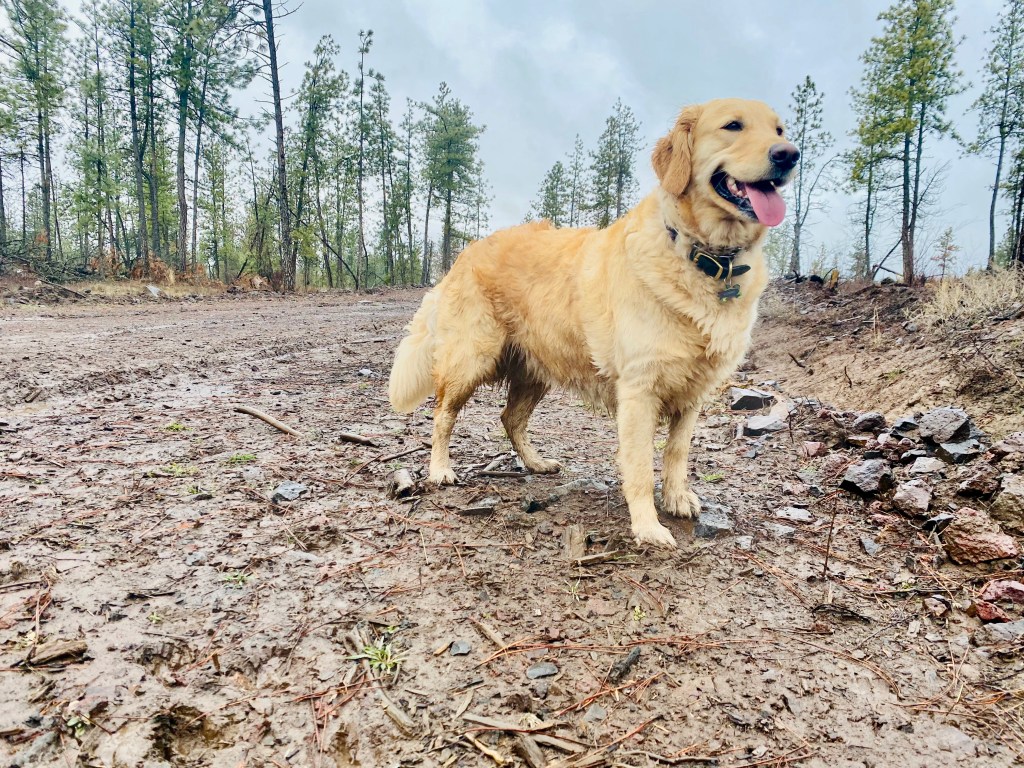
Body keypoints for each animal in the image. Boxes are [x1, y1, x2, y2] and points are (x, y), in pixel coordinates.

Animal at [389, 98, 798, 547]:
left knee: (510, 419)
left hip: (535, 370)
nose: (789, 155)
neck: (706, 259)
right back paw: (440, 469)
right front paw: (647, 526)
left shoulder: (693, 394)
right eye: (732, 126)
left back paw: (535, 462)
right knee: (442, 414)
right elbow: (639, 466)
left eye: (779, 130)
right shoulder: (639, 392)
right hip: (470, 360)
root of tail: (465, 252)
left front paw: (676, 498)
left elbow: (676, 453)